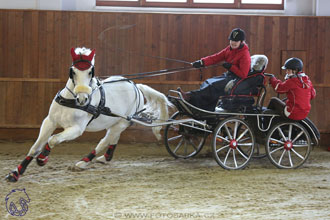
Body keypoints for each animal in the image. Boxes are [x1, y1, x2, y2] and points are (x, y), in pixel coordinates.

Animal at [5, 46, 173, 182]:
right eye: (73, 71)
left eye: (90, 72)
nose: (82, 99)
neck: (71, 101)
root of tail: (136, 86)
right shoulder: (50, 121)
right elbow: (35, 147)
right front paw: (15, 173)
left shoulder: (76, 129)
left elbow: (53, 140)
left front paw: (42, 159)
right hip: (116, 122)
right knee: (113, 138)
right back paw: (104, 158)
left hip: (123, 122)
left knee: (104, 141)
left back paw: (82, 162)